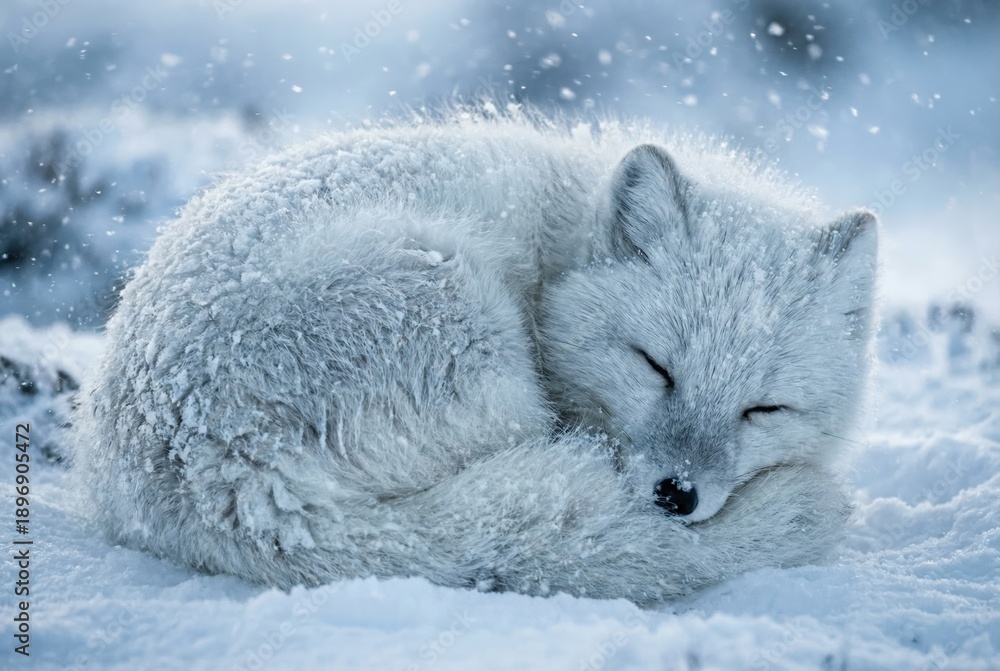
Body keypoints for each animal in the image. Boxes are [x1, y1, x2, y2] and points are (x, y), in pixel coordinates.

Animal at [72, 107, 877, 607]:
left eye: (763, 408)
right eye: (655, 365)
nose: (675, 496)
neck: (555, 257)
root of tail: (227, 473)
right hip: (462, 312)